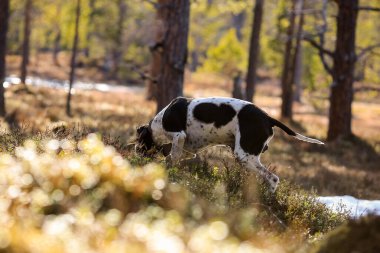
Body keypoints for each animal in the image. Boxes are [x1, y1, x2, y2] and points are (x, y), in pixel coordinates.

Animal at [137, 97, 324, 192]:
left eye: (139, 145)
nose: (136, 157)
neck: (160, 119)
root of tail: (268, 117)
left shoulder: (178, 136)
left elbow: (171, 158)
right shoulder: (188, 148)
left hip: (244, 156)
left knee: (273, 178)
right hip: (245, 157)